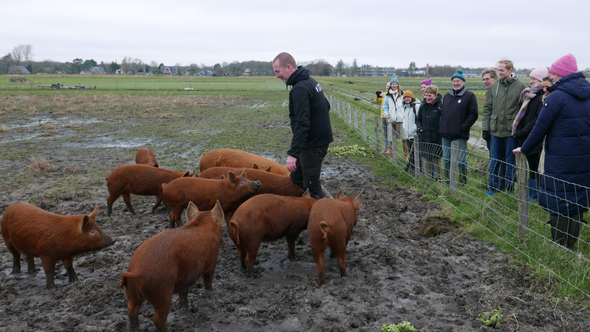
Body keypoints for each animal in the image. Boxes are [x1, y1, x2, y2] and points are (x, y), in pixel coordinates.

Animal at [120, 200, 224, 332]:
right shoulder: (211, 261)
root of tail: (136, 271)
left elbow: (184, 292)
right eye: (222, 228)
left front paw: (184, 307)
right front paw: (211, 292)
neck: (203, 224)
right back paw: (168, 329)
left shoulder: (186, 276)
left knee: (131, 310)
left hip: (132, 293)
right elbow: (208, 279)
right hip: (163, 292)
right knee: (157, 318)